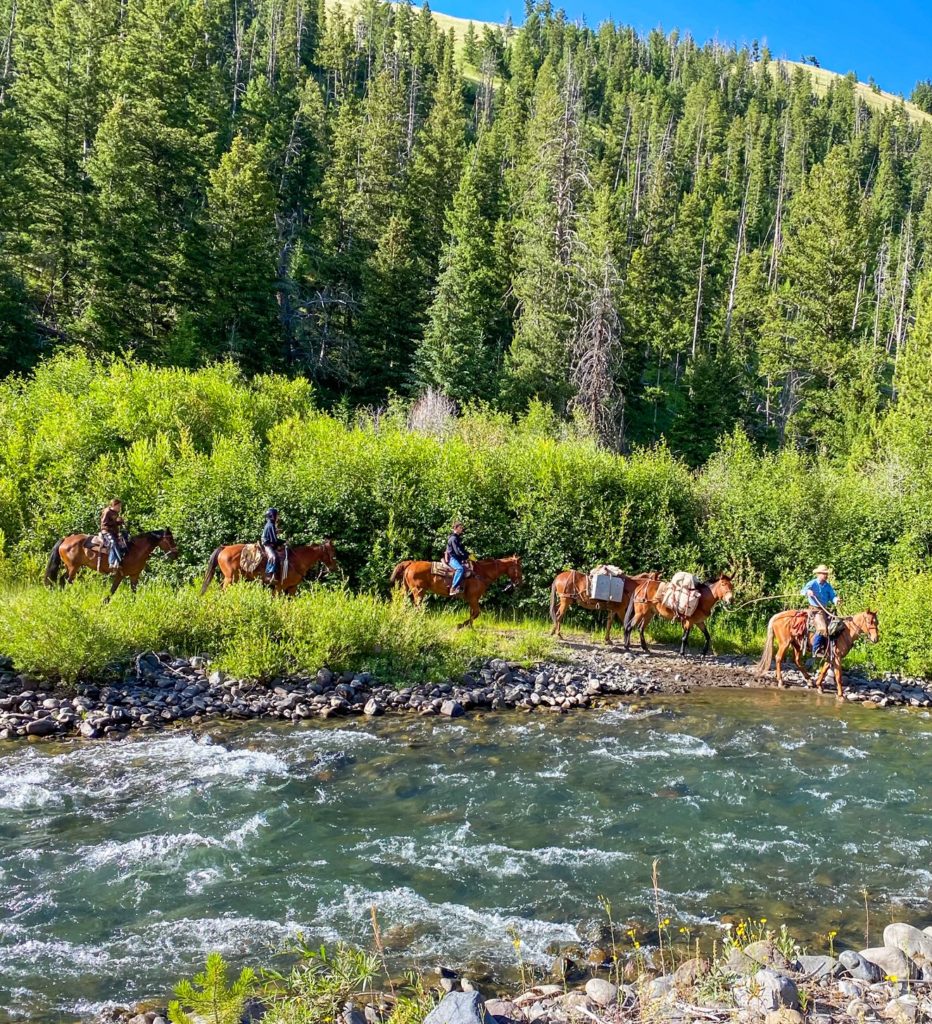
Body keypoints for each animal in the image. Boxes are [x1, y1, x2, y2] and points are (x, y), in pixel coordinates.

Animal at [44, 528, 179, 598]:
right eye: (170, 539)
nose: (176, 554)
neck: (135, 550)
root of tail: (65, 539)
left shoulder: (134, 575)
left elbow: (133, 592)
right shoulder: (120, 575)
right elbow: (111, 592)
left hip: (71, 567)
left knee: (62, 580)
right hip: (72, 568)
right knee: (65, 581)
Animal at [200, 540, 340, 598]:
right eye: (333, 552)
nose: (334, 568)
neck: (297, 560)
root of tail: (224, 548)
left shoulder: (292, 587)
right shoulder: (280, 587)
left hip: (230, 579)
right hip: (231, 579)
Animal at [389, 557, 524, 626]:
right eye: (519, 567)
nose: (520, 582)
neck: (481, 573)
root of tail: (411, 563)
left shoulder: (472, 599)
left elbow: (472, 613)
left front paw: (470, 628)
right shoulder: (473, 598)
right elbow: (476, 613)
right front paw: (461, 625)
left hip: (407, 589)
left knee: (404, 603)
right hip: (418, 591)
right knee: (417, 607)